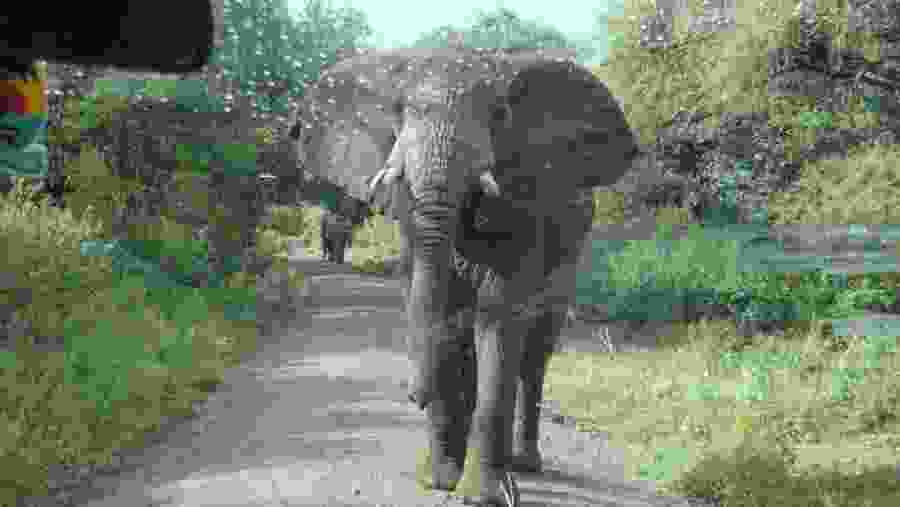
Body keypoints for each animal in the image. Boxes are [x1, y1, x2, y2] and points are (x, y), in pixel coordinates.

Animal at [292, 47, 641, 506]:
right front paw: (438, 481)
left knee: (534, 358)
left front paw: (483, 496)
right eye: (399, 110)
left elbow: (498, 321)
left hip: (569, 263)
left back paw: (525, 465)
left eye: (498, 114)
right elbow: (447, 320)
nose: (412, 395)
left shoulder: (525, 210)